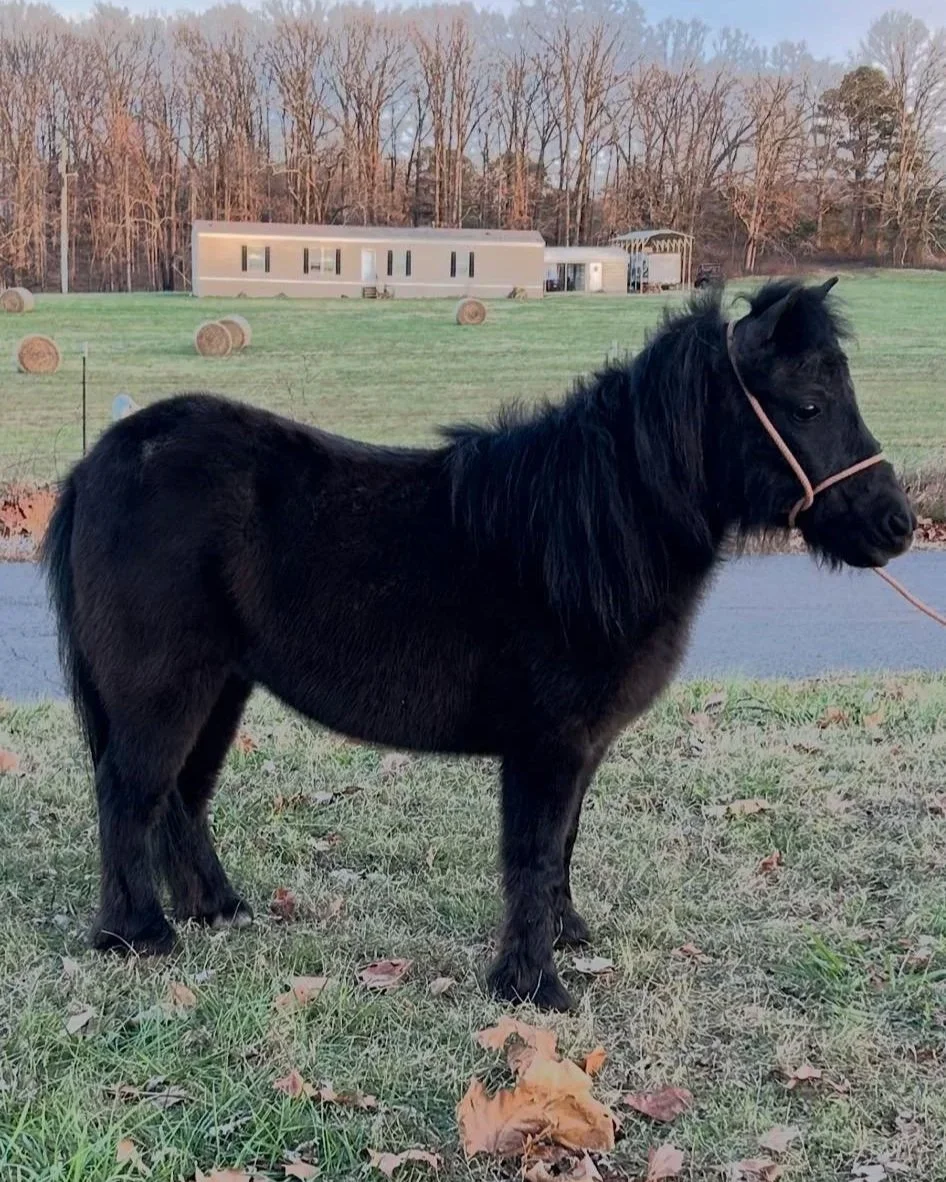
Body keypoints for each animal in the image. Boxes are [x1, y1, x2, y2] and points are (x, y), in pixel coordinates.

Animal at [42, 278, 915, 1011]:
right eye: (808, 405)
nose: (896, 524)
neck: (591, 535)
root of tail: (98, 461)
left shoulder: (583, 749)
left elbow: (564, 843)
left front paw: (565, 936)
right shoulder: (546, 745)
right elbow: (532, 853)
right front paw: (533, 987)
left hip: (221, 687)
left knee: (181, 796)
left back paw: (218, 909)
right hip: (167, 687)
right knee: (130, 790)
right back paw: (138, 934)